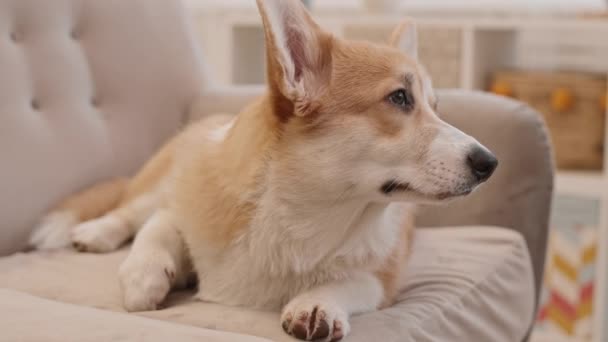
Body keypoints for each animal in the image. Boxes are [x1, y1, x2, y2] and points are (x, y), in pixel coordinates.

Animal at [27, 1, 498, 340]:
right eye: (400, 98)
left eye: (436, 108)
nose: (489, 163)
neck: (309, 213)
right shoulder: (178, 207)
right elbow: (157, 232)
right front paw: (145, 277)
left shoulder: (383, 280)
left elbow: (351, 282)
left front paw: (317, 305)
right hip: (159, 180)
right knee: (130, 210)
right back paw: (95, 233)